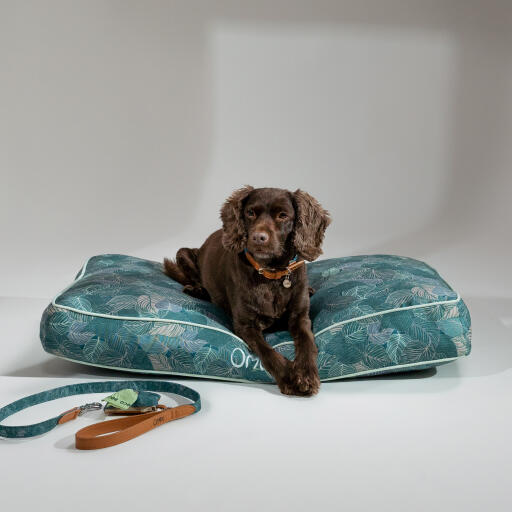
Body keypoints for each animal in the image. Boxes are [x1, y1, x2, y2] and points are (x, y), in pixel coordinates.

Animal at [164, 187, 332, 396]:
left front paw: (306, 375)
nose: (259, 237)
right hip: (183, 253)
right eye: (250, 213)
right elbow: (268, 351)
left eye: (283, 215)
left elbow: (307, 343)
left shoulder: (300, 317)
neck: (271, 275)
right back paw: (197, 290)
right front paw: (289, 377)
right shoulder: (245, 325)